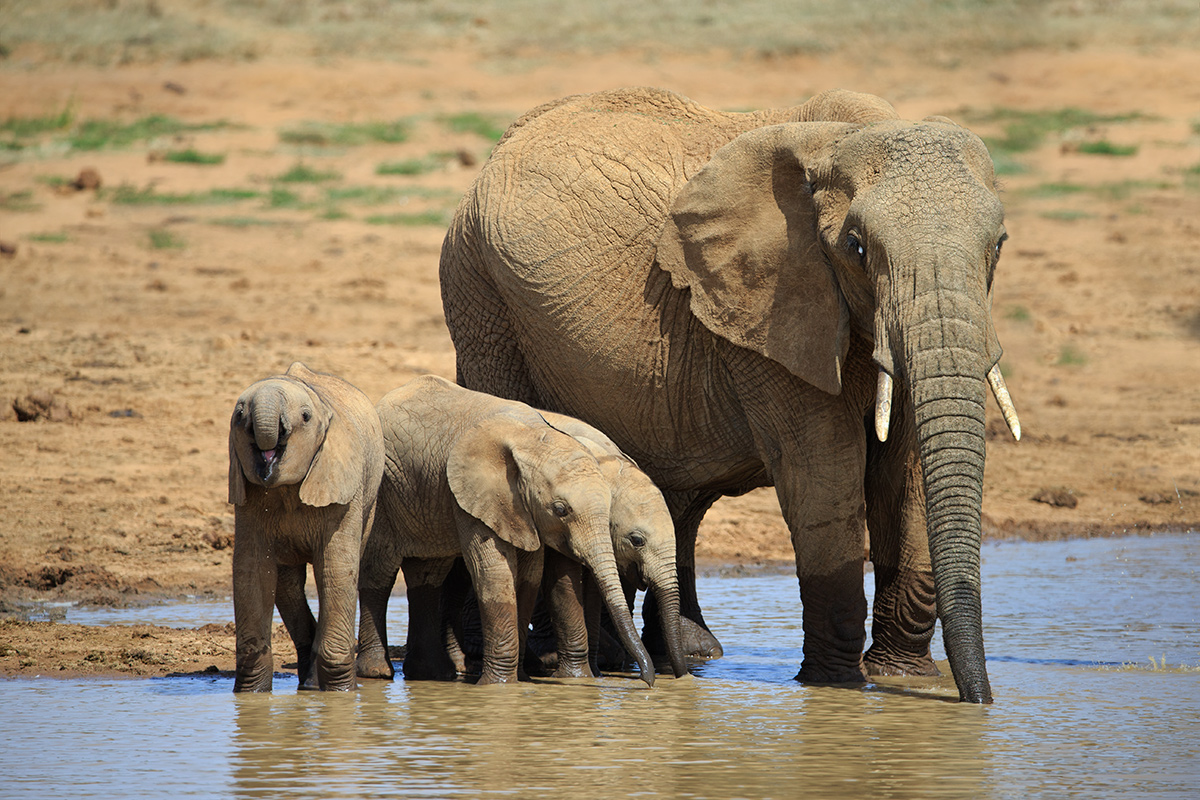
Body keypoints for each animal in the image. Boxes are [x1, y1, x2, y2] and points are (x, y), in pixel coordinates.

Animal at [228, 361, 384, 692]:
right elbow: (252, 571)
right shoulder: (247, 496)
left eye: (305, 417)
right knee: (287, 585)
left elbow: (336, 568)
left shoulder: (344, 489)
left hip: (371, 499)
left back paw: (314, 685)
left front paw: (340, 693)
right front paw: (250, 694)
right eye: (239, 415)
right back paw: (309, 682)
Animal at [354, 374, 658, 687]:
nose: (648, 681)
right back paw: (378, 672)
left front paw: (518, 680)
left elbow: (529, 576)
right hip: (384, 493)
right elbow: (494, 572)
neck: (533, 438)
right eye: (561, 509)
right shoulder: (477, 495)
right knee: (380, 570)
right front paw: (497, 686)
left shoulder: (524, 511)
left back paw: (432, 675)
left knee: (428, 574)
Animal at [438, 87, 1022, 703]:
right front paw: (834, 686)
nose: (982, 702)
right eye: (857, 247)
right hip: (481, 298)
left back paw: (686, 654)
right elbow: (823, 471)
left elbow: (904, 473)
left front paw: (904, 679)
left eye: (998, 245)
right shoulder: (770, 306)